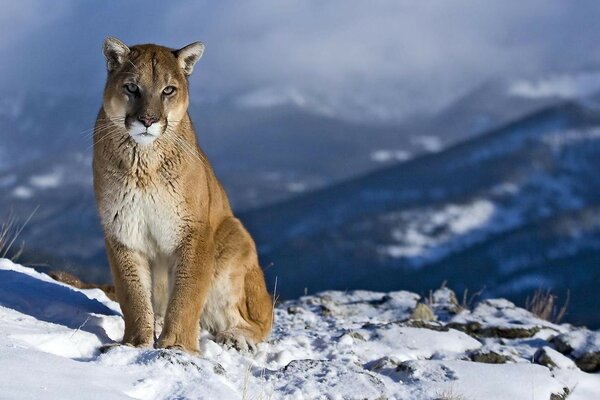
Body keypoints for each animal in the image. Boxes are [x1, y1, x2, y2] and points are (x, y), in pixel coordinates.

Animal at [92, 37, 274, 354]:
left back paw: (237, 337)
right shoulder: (122, 231)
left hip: (233, 237)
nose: (148, 120)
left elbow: (187, 294)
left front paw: (176, 344)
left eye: (168, 90)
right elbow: (133, 294)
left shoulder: (194, 232)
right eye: (132, 87)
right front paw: (135, 343)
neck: (144, 164)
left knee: (259, 318)